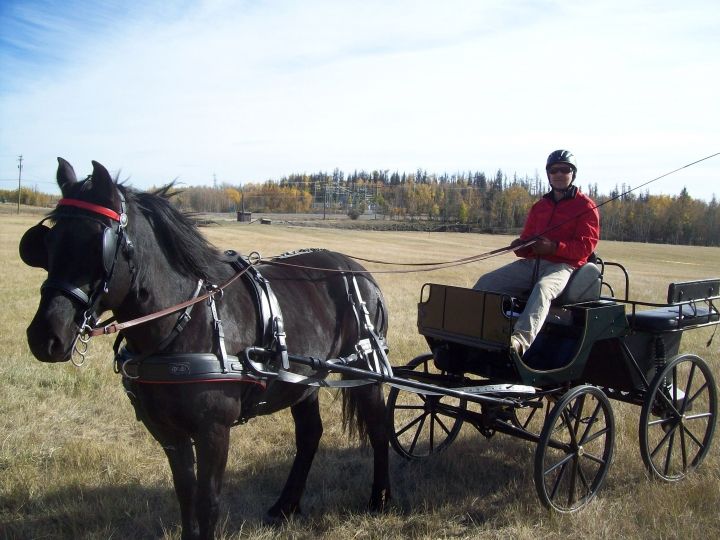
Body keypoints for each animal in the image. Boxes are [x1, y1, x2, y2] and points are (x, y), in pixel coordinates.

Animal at [22, 158, 390, 536]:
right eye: (46, 243)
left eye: (97, 245)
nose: (43, 337)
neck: (183, 319)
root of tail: (362, 273)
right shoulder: (166, 430)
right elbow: (185, 494)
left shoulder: (213, 430)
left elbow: (207, 501)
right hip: (304, 382)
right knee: (309, 435)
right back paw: (286, 505)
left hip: (366, 371)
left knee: (379, 429)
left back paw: (379, 499)